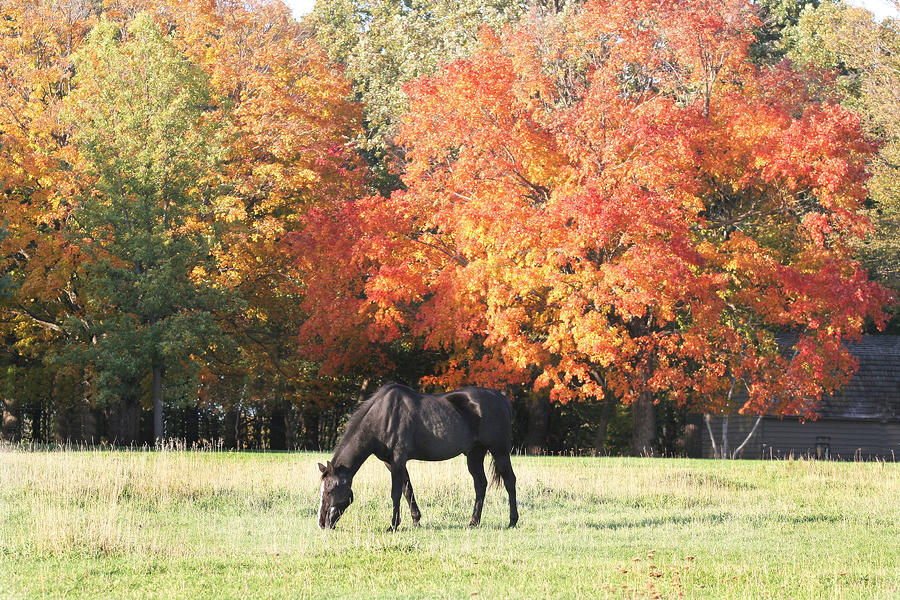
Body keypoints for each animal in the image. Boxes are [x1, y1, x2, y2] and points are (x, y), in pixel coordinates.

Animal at [316, 384, 516, 528]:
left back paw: (512, 521)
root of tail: (502, 399)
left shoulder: (398, 459)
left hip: (500, 451)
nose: (322, 523)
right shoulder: (391, 462)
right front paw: (416, 520)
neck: (382, 416)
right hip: (474, 454)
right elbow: (407, 490)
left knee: (509, 481)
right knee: (480, 484)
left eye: (329, 490)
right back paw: (474, 522)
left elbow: (396, 492)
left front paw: (393, 525)